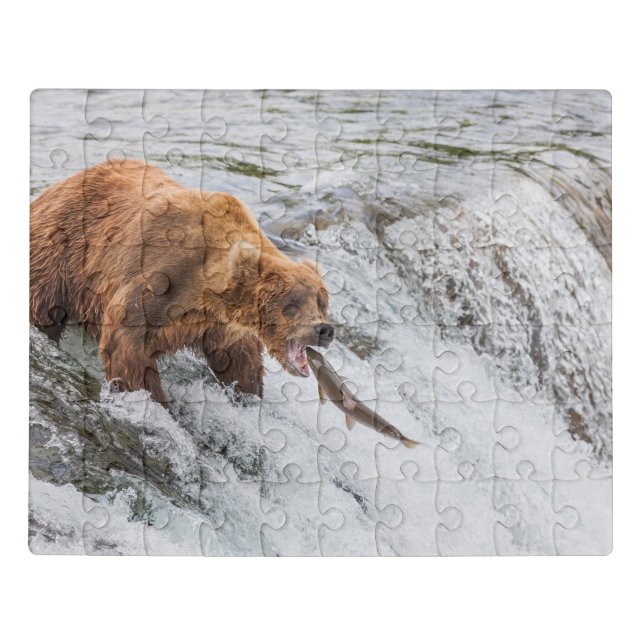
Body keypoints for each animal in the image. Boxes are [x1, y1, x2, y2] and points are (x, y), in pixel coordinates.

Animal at [30, 159, 334, 404]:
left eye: (321, 302)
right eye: (292, 304)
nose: (324, 330)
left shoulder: (219, 324)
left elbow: (238, 359)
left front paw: (247, 394)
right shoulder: (160, 277)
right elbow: (126, 342)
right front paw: (154, 399)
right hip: (59, 257)